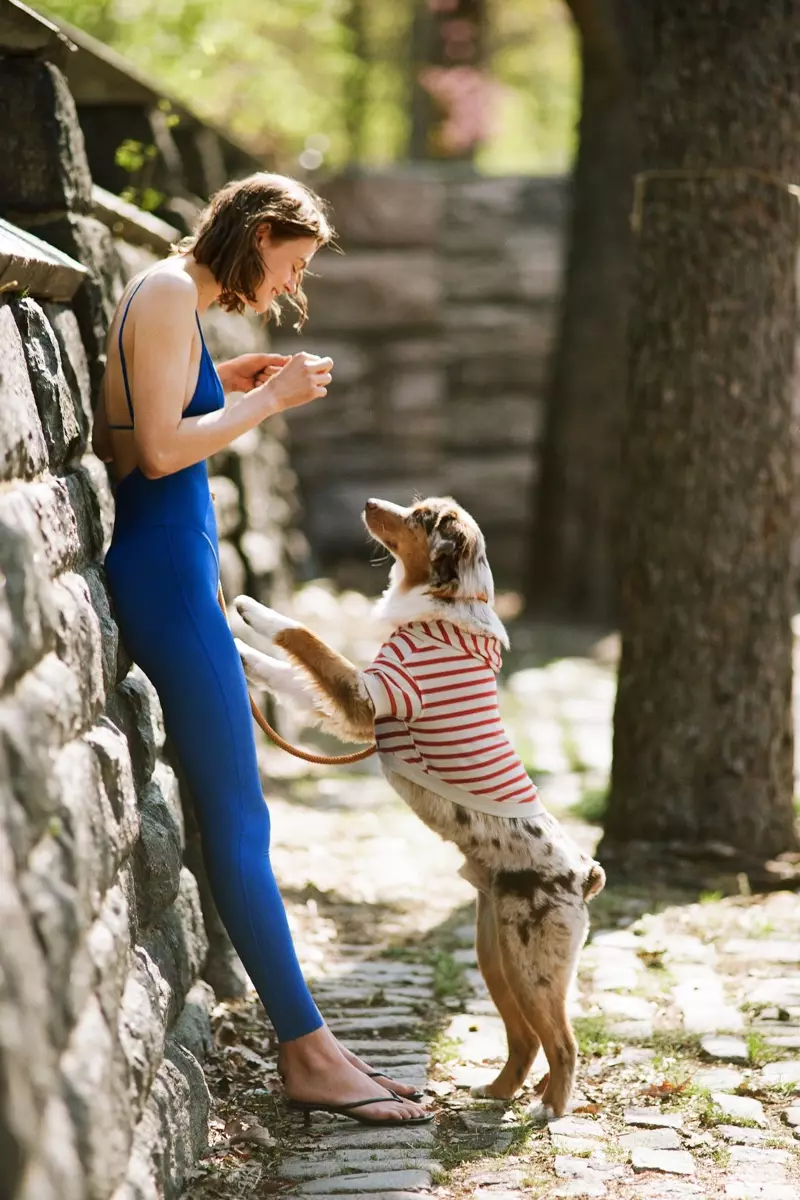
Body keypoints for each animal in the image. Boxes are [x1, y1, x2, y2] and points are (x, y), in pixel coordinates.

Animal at [231, 496, 606, 1113]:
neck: (446, 608)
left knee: (563, 1041)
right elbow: (285, 672)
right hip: (495, 954)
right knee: (526, 1038)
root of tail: (584, 873)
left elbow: (303, 637)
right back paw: (495, 1093)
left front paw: (247, 608)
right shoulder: (357, 709)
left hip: (533, 963)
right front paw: (231, 645)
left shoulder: (368, 696)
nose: (367, 502)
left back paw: (549, 1108)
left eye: (420, 518)